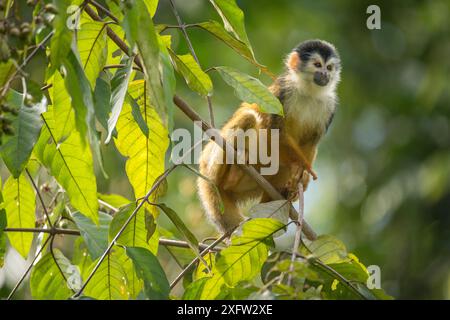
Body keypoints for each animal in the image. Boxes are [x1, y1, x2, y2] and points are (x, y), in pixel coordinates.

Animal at [198, 40, 342, 232]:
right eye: (318, 65)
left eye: (330, 67)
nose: (326, 74)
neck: (307, 91)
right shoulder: (282, 91)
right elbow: (274, 132)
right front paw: (301, 167)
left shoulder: (330, 105)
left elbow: (311, 143)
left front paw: (301, 177)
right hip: (211, 162)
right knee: (249, 117)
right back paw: (232, 173)